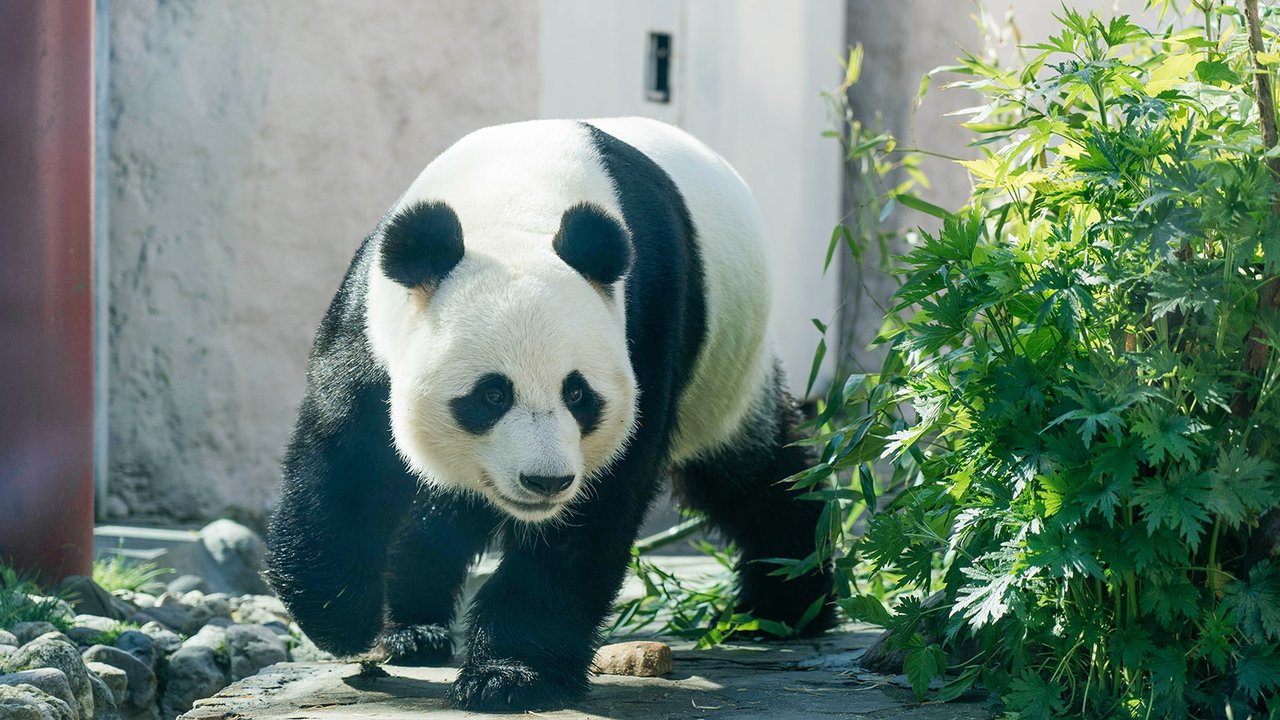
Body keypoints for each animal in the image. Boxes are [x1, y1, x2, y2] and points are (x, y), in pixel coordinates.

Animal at [264, 117, 834, 707]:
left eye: (578, 395)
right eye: (492, 395)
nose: (545, 482)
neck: (516, 206)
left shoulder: (646, 316)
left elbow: (595, 508)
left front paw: (510, 676)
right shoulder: (375, 318)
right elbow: (345, 455)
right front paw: (341, 619)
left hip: (725, 370)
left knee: (754, 479)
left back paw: (785, 604)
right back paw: (415, 631)